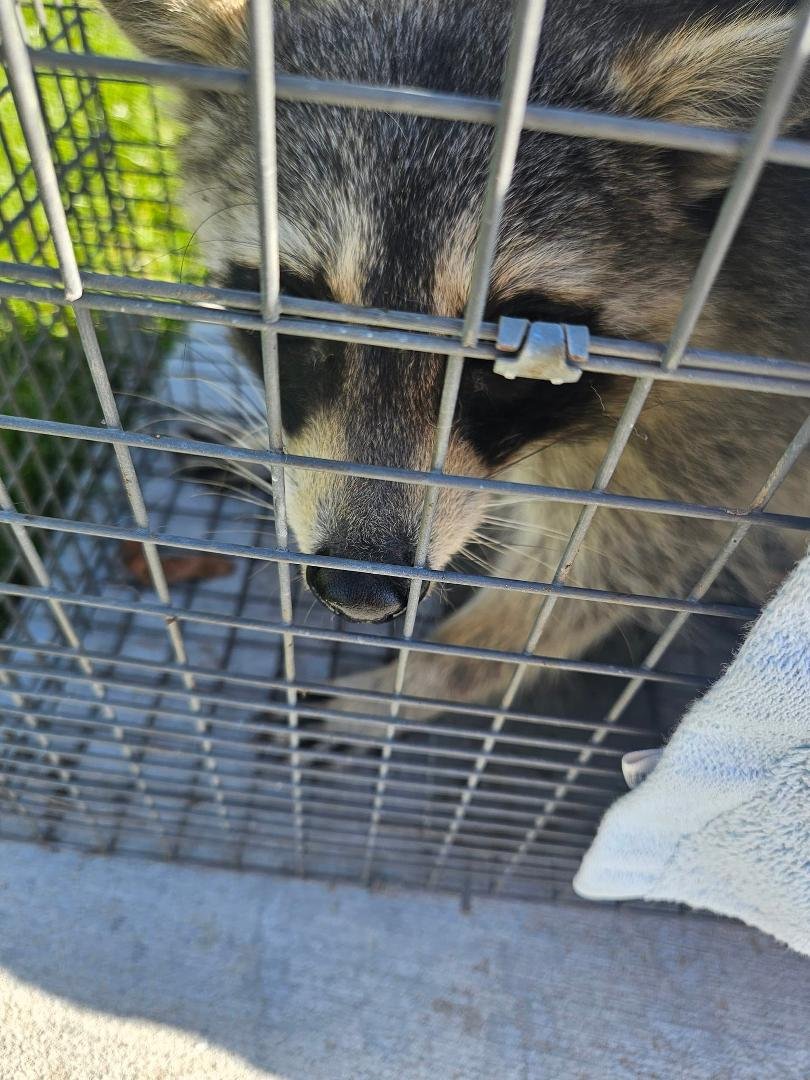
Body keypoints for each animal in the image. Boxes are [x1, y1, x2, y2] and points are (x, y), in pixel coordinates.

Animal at [102, 0, 809, 731]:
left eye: (518, 347)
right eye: (300, 308)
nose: (357, 591)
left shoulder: (730, 417)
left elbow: (595, 576)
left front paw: (413, 681)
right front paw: (257, 452)